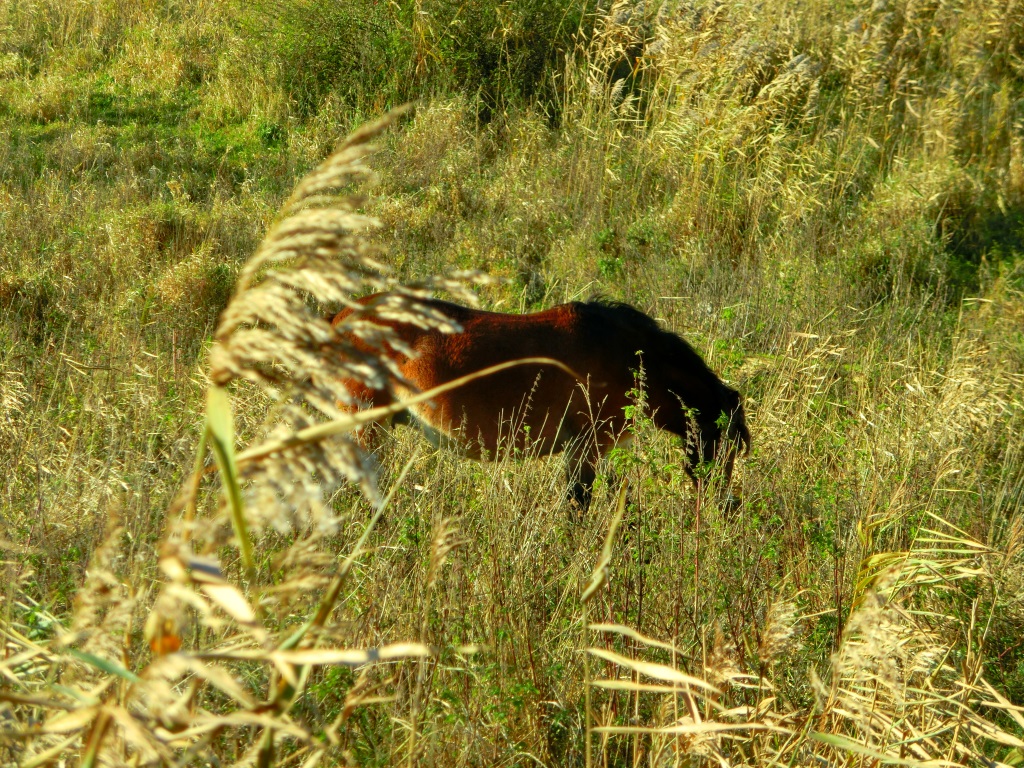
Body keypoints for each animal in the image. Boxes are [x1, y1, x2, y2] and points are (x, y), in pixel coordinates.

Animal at [331, 295, 750, 510]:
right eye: (726, 446)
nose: (728, 506)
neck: (627, 353)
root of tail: (342, 317)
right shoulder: (586, 447)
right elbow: (577, 505)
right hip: (363, 429)